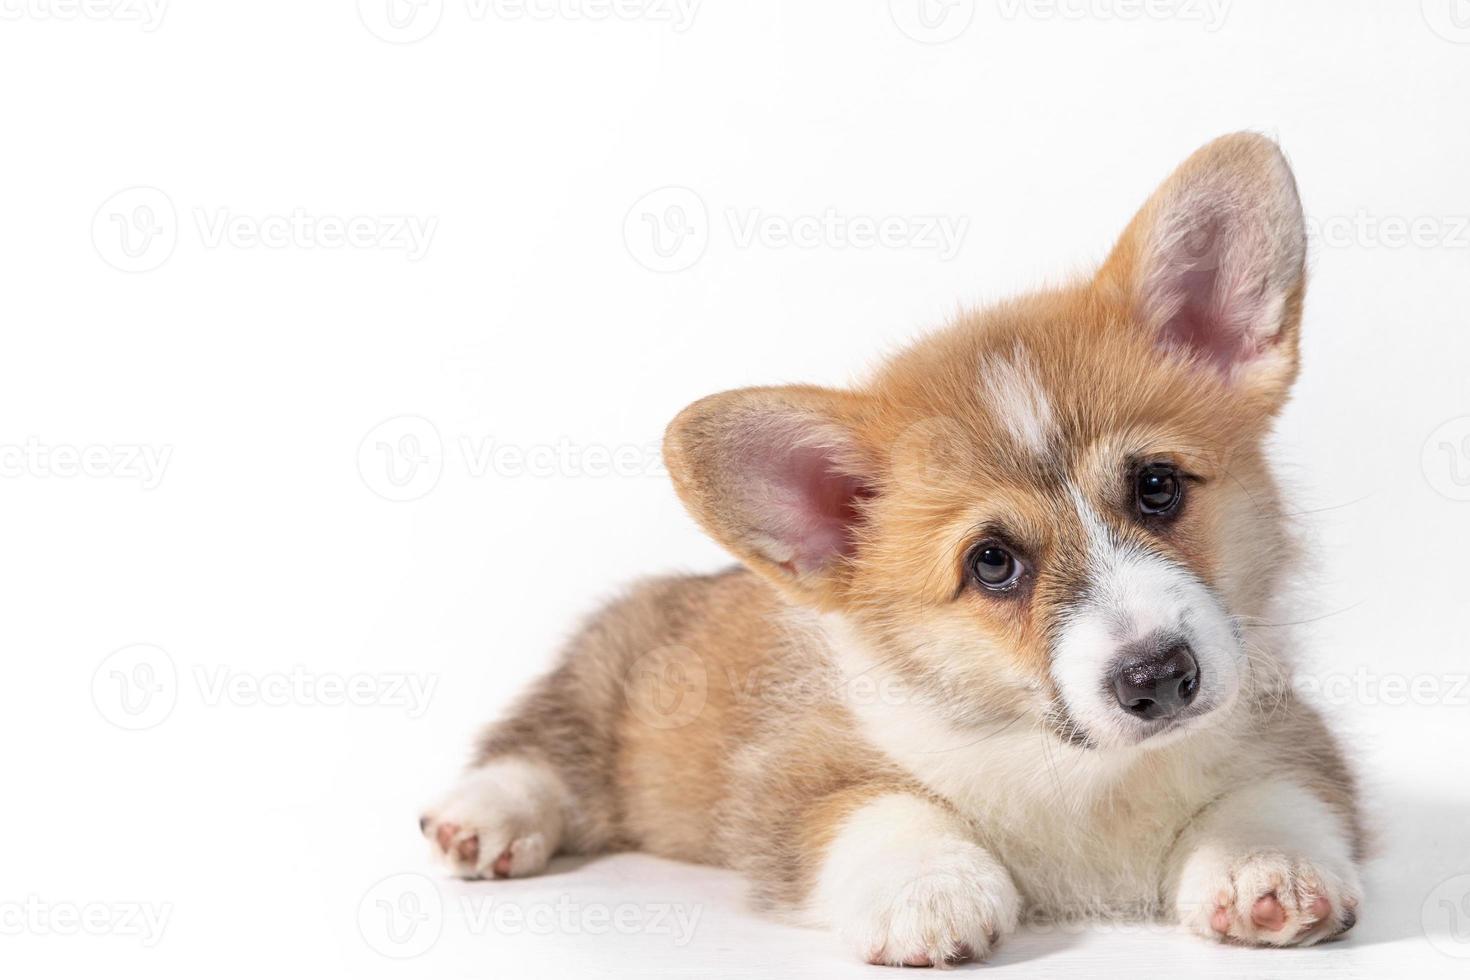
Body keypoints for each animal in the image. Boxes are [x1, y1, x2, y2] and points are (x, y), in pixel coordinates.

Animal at [420, 134, 1358, 969]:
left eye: (1157, 486)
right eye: (991, 563)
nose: (1157, 677)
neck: (1085, 772)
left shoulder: (1291, 737)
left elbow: (1277, 796)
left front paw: (1265, 866)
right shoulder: (797, 781)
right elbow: (877, 806)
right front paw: (929, 892)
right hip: (608, 677)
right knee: (545, 744)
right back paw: (484, 816)